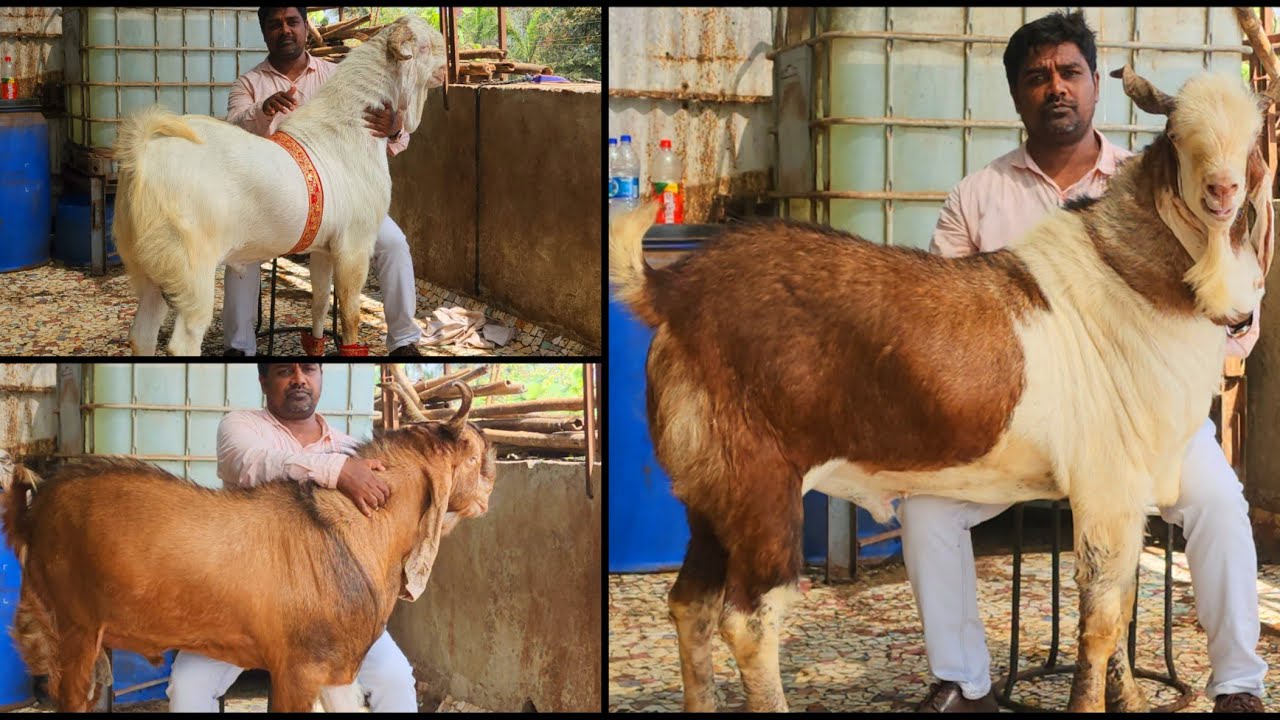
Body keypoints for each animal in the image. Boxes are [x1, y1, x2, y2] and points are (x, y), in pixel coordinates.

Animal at [2, 382, 496, 712]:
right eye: (473, 456)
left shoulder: (337, 667)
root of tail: (33, 507)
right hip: (72, 626)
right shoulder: (298, 668)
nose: (491, 486)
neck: (355, 529)